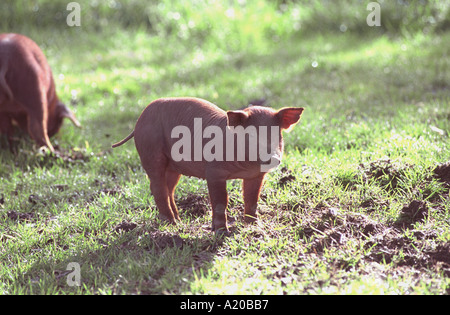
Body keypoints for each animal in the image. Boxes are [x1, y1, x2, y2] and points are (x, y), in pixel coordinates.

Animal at [112, 98, 304, 235]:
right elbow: (220, 201)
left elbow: (252, 199)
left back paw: (179, 221)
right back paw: (171, 224)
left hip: (173, 167)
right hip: (151, 152)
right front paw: (221, 232)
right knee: (156, 187)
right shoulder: (214, 173)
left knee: (169, 189)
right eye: (251, 136)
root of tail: (139, 120)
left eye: (277, 135)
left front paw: (255, 225)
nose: (273, 157)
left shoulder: (256, 175)